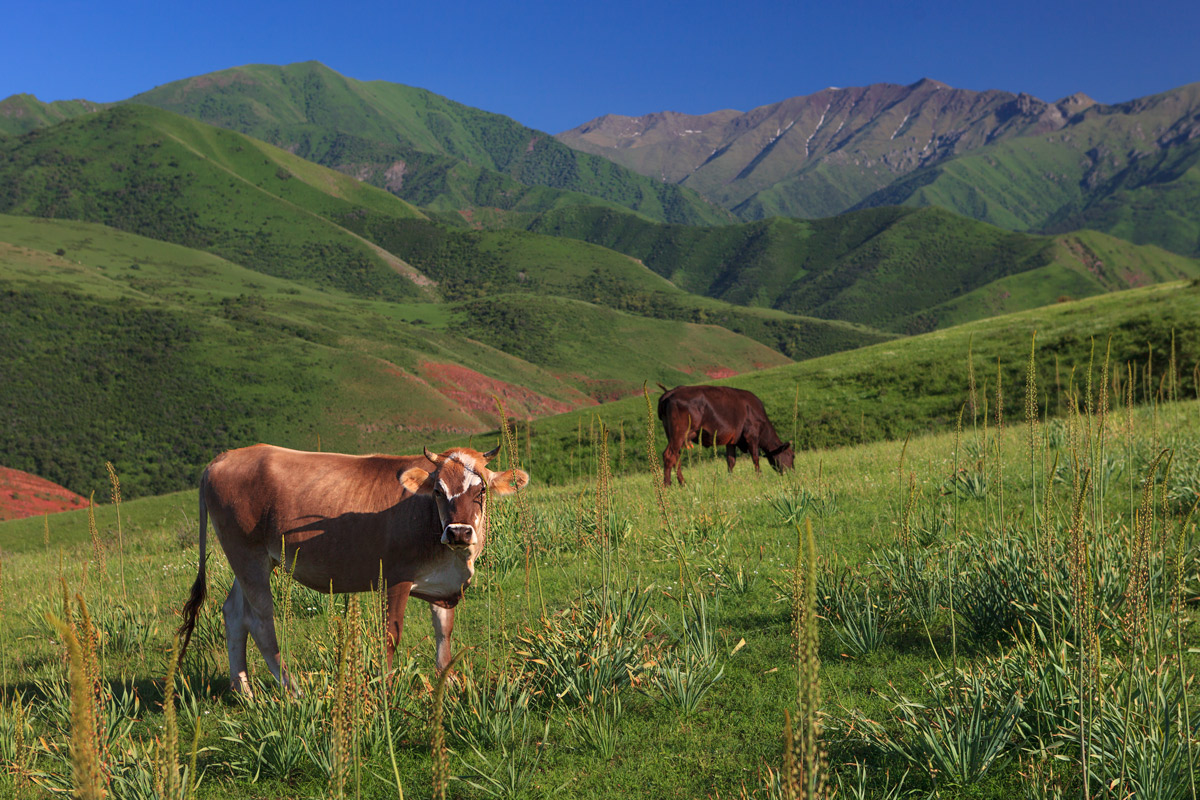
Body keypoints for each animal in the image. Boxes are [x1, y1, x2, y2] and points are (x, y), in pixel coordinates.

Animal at [176, 443, 525, 695]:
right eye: (438, 491)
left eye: (481, 490)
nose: (458, 532)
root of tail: (224, 458)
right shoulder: (395, 576)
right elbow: (391, 634)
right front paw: (386, 688)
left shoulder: (443, 583)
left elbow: (444, 630)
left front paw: (446, 681)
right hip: (248, 554)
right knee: (260, 621)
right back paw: (293, 690)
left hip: (249, 559)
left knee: (234, 613)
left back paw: (243, 692)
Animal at [657, 383, 796, 489]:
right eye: (792, 455)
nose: (793, 473)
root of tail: (670, 392)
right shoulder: (752, 435)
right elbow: (755, 458)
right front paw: (759, 477)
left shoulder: (732, 440)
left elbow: (731, 461)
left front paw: (730, 480)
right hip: (680, 433)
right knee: (669, 455)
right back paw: (667, 485)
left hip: (674, 434)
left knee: (676, 457)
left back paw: (683, 484)